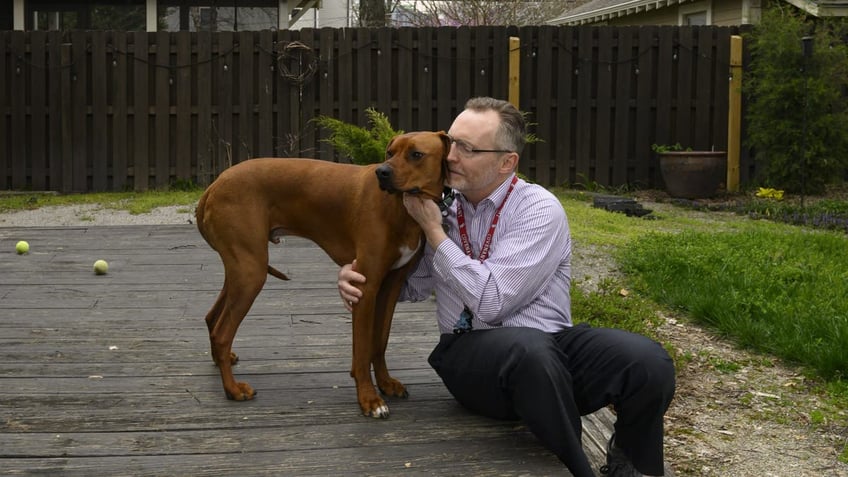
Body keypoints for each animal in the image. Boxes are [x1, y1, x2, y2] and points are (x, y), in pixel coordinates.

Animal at [194, 130, 450, 416]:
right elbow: (362, 350)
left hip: (242, 267)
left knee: (212, 317)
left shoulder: (391, 286)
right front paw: (369, 399)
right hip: (251, 272)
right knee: (222, 333)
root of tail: (215, 184)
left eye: (416, 154)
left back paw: (224, 361)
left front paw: (385, 383)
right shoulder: (366, 285)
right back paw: (232, 389)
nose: (382, 172)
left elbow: (379, 342)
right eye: (389, 152)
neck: (401, 208)